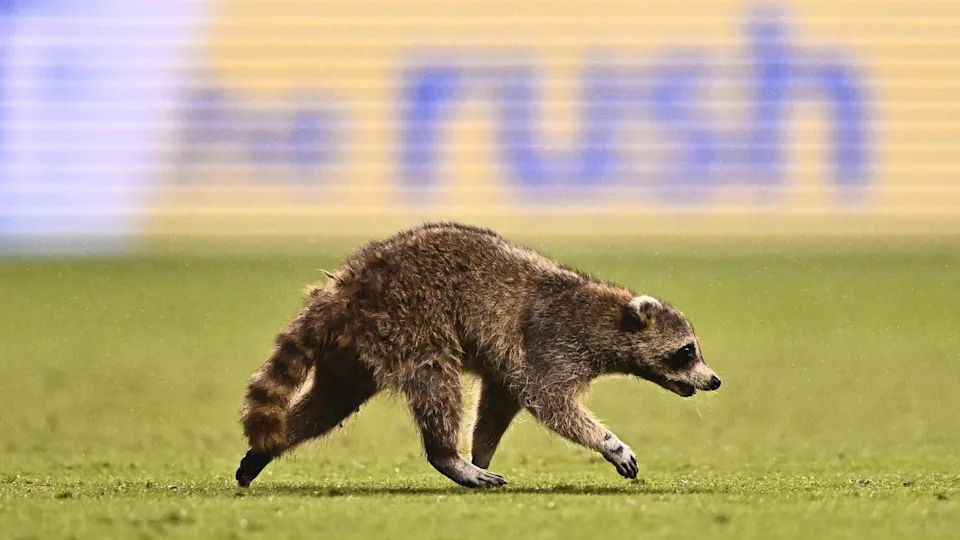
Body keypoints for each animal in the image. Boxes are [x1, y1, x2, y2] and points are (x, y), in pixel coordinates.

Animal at [236, 222, 720, 488]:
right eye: (686, 352)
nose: (714, 380)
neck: (609, 315)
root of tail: (348, 283)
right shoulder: (552, 343)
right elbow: (549, 402)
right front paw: (608, 442)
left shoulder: (511, 364)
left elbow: (499, 403)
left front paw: (480, 452)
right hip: (409, 317)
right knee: (435, 379)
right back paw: (446, 455)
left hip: (355, 346)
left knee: (331, 401)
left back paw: (272, 445)